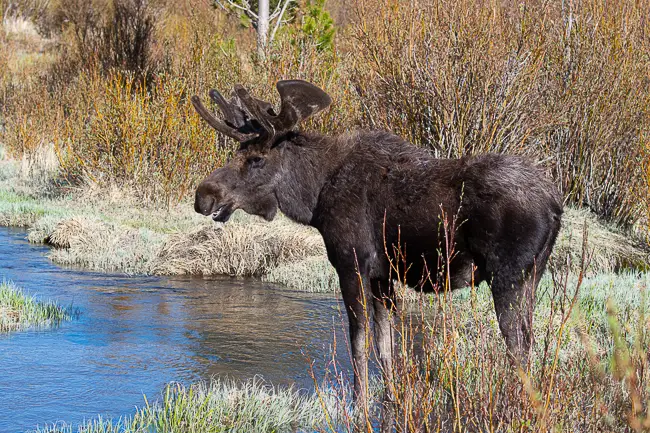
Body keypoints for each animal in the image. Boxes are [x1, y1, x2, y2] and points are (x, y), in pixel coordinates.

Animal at [191, 79, 563, 426]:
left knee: (518, 347)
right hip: (531, 276)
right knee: (529, 341)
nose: (203, 195)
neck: (314, 197)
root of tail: (555, 205)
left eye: (256, 160)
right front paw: (392, 399)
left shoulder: (351, 264)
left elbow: (359, 342)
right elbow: (386, 345)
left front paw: (359, 405)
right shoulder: (383, 276)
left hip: (507, 276)